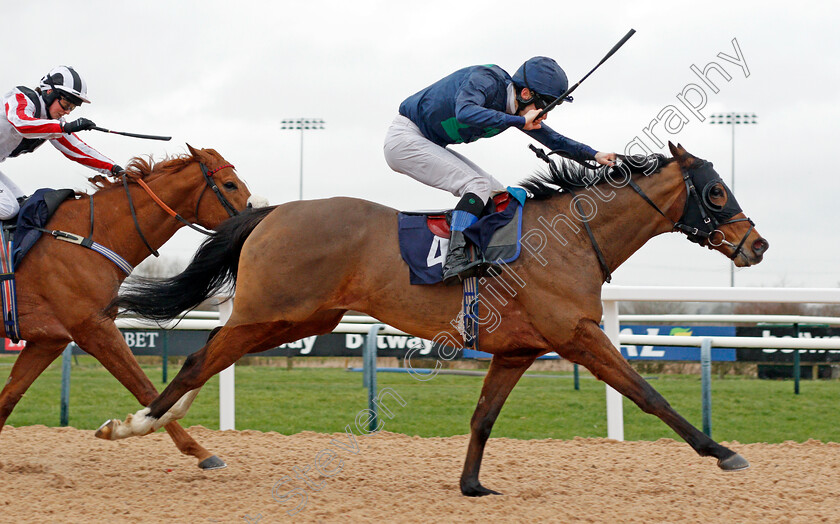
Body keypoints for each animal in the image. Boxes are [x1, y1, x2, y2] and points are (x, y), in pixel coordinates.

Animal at [0, 144, 258, 470]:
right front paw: (200, 451)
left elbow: (9, 397)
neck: (91, 235)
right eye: (230, 184)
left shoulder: (49, 340)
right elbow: (145, 388)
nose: (258, 218)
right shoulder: (94, 329)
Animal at [98, 143, 768, 496]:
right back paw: (137, 423)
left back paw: (154, 421)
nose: (755, 245)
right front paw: (720, 450)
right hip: (272, 311)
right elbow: (648, 394)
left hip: (298, 319)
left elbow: (483, 416)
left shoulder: (518, 350)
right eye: (715, 192)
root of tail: (273, 212)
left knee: (212, 353)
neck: (574, 237)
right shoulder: (579, 336)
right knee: (198, 356)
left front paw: (472, 485)